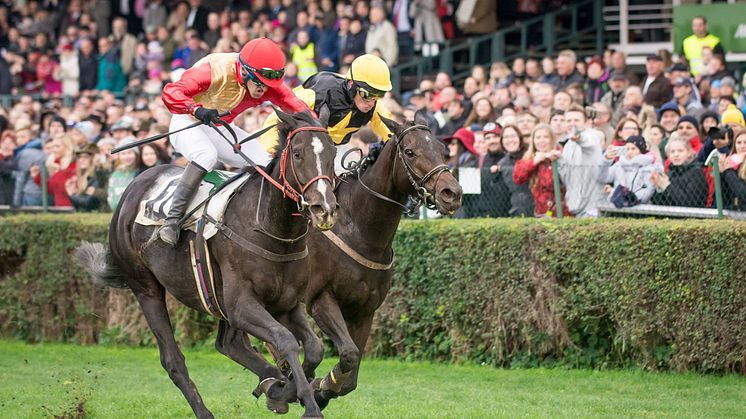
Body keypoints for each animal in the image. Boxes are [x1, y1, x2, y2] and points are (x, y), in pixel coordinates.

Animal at [76, 110, 338, 418]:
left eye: (333, 152)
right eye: (297, 153)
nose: (325, 209)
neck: (272, 229)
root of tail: (132, 188)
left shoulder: (285, 303)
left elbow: (314, 347)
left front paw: (285, 389)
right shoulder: (241, 305)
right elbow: (285, 340)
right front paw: (305, 402)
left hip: (217, 298)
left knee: (229, 344)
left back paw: (271, 381)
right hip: (145, 288)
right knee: (173, 359)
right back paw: (207, 410)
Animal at [302, 119, 460, 410]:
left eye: (443, 150)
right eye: (410, 152)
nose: (452, 193)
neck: (360, 231)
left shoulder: (365, 309)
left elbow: (350, 377)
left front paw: (321, 389)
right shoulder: (319, 298)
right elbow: (348, 353)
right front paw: (317, 387)